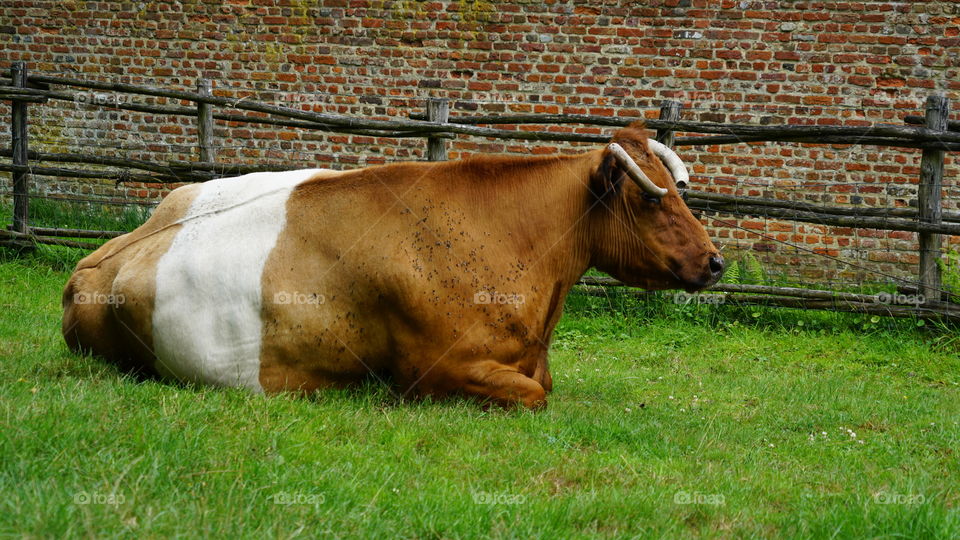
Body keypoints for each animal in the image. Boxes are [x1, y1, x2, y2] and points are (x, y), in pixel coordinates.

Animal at [62, 122, 723, 409]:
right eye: (651, 199)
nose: (715, 262)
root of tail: (95, 263)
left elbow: (544, 383)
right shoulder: (434, 370)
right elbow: (535, 394)